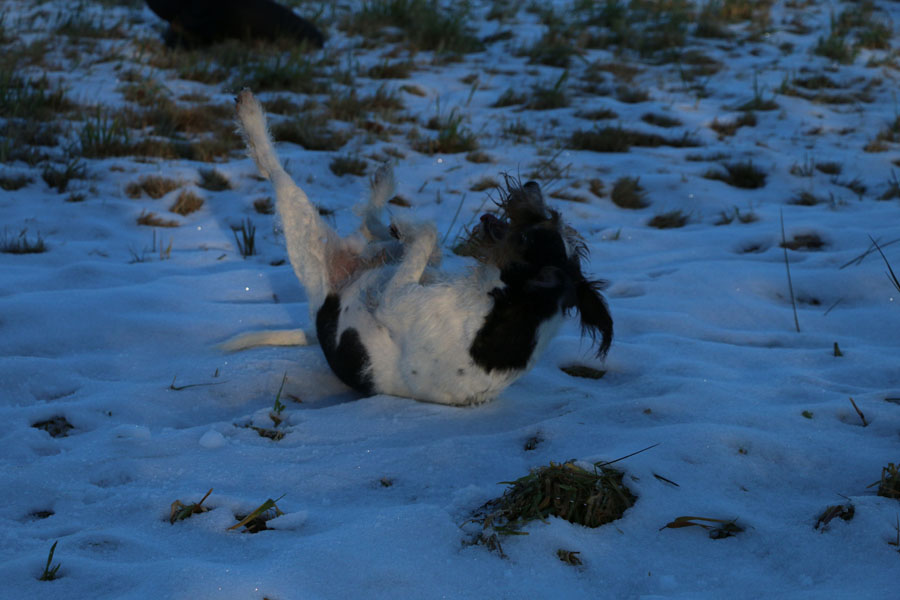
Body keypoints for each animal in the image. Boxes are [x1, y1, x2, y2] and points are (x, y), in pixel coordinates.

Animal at [232, 89, 612, 406]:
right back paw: (384, 190)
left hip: (309, 240)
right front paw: (402, 225)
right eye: (555, 219)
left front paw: (410, 226)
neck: (504, 308)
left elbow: (428, 231)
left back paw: (250, 112)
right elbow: (425, 238)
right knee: (373, 226)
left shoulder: (396, 299)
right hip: (376, 254)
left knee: (274, 170)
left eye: (533, 232)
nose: (532, 184)